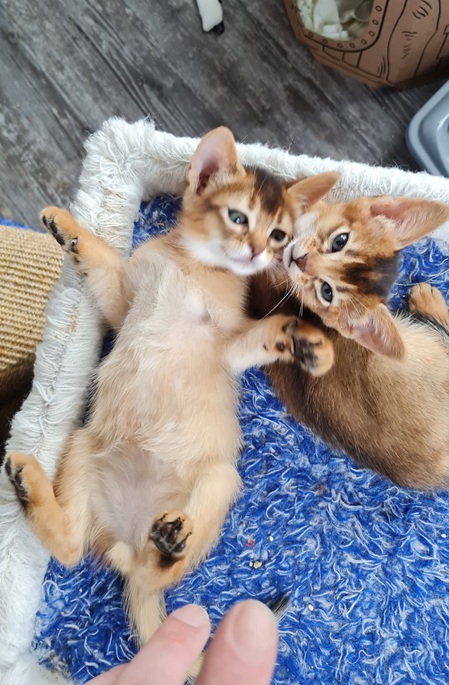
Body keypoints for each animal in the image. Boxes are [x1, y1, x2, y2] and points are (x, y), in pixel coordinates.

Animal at [4, 127, 338, 647]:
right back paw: (31, 483)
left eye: (279, 235)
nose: (258, 252)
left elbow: (262, 334)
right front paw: (68, 227)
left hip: (219, 480)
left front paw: (303, 341)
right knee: (76, 549)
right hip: (81, 447)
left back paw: (167, 547)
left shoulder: (228, 347)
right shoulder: (125, 303)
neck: (191, 266)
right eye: (238, 217)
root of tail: (131, 531)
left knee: (148, 570)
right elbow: (104, 263)